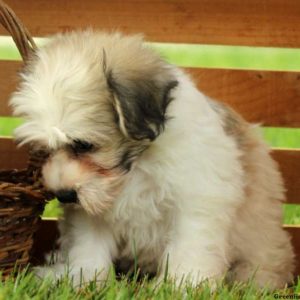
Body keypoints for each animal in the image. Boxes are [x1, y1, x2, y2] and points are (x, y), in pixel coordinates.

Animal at [9, 30, 296, 288]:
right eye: (46, 149)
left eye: (83, 145)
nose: (64, 195)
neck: (137, 164)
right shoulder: (93, 209)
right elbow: (90, 247)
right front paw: (83, 278)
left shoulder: (196, 202)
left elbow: (189, 246)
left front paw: (182, 285)